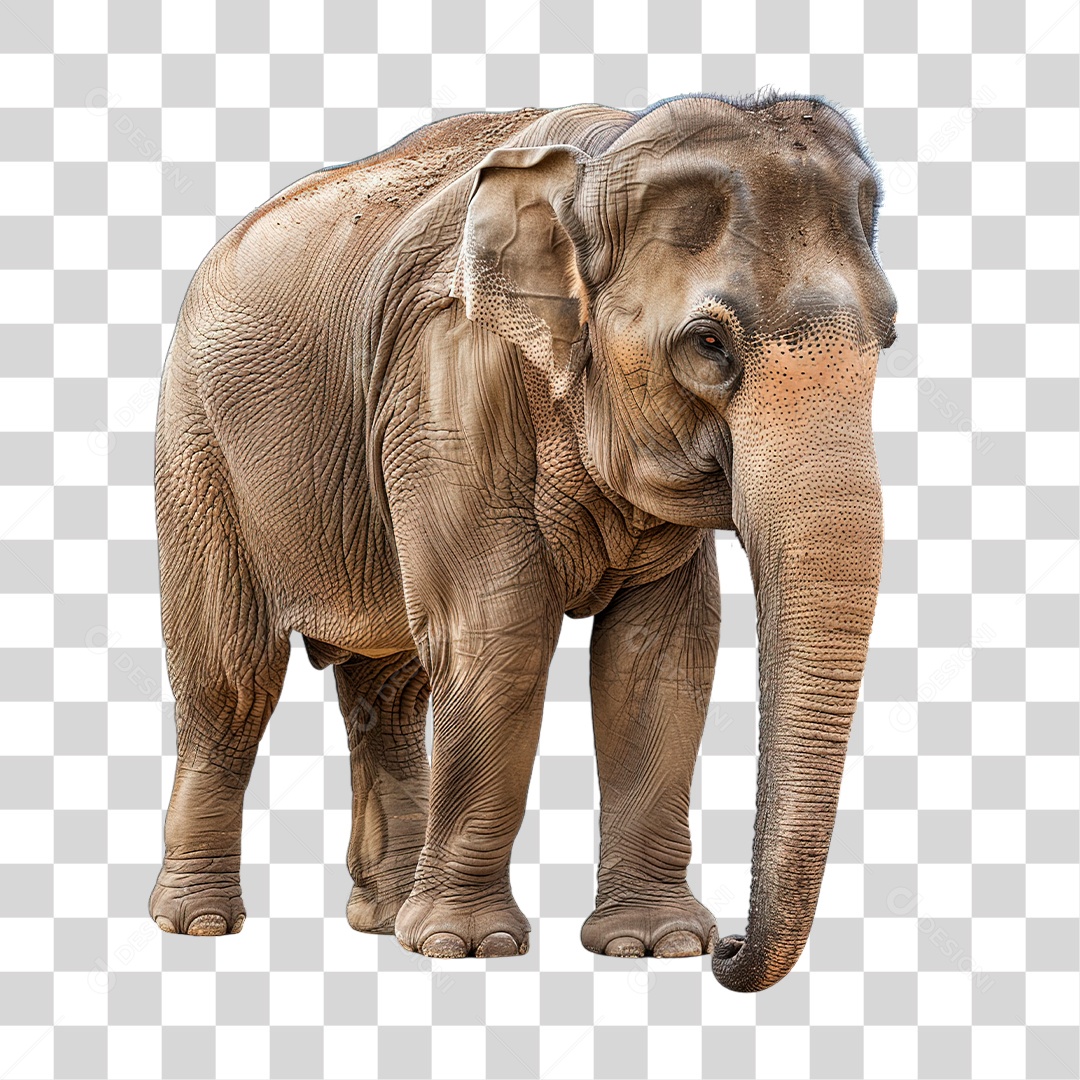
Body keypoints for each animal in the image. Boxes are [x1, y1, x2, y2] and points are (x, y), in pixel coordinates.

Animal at [150, 91, 894, 992]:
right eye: (709, 344)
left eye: (888, 338)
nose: (730, 947)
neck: (602, 159)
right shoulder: (446, 379)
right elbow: (496, 631)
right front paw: (467, 948)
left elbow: (657, 654)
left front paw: (655, 946)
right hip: (197, 445)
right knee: (232, 678)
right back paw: (199, 924)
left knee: (389, 685)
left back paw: (384, 920)